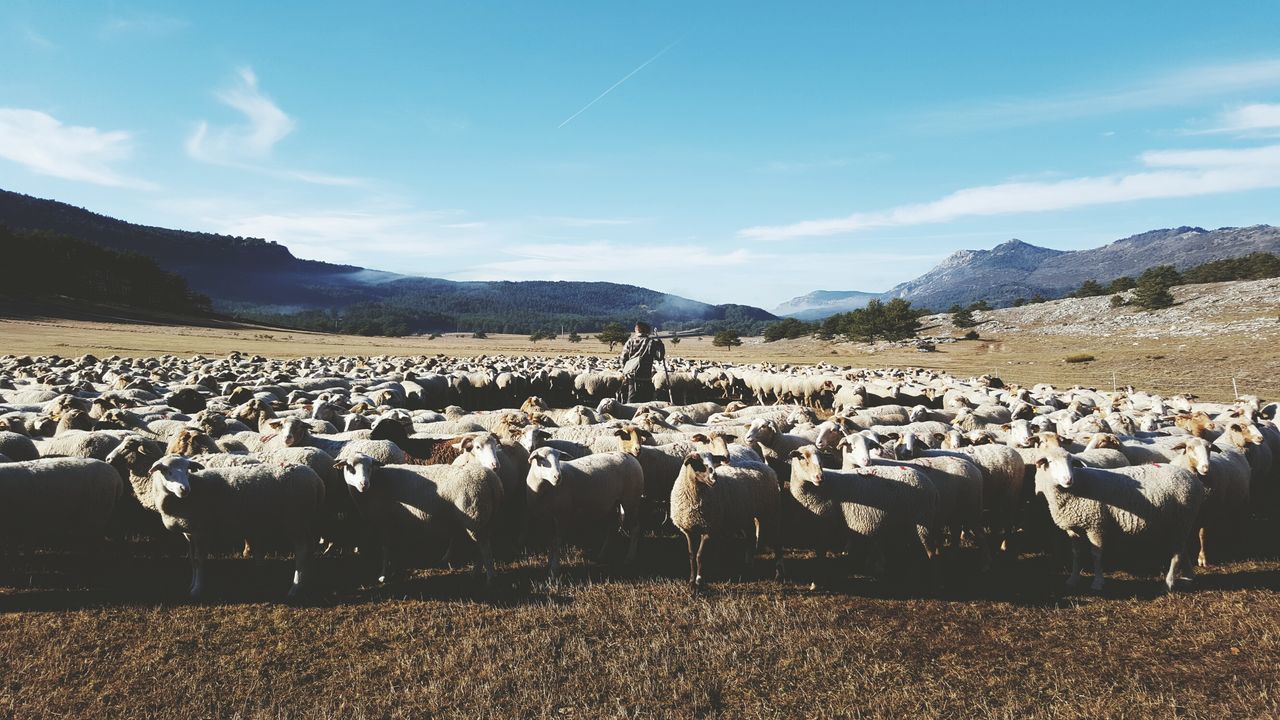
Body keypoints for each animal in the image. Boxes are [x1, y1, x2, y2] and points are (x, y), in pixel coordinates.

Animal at [145, 450, 327, 597]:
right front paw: (192, 584)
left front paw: (197, 589)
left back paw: (295, 588)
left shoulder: (202, 530)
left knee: (302, 550)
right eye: (167, 471)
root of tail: (317, 480)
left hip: (295, 519)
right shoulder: (189, 532)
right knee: (309, 547)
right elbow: (192, 560)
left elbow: (199, 560)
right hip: (302, 520)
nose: (184, 489)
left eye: (187, 471)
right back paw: (306, 582)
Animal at [337, 450, 501, 579]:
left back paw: (490, 578)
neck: (378, 481)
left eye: (370, 467)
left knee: (485, 549)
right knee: (480, 548)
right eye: (350, 468)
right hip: (479, 519)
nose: (363, 484)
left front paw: (383, 574)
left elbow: (385, 549)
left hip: (474, 515)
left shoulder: (385, 521)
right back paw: (476, 573)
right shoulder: (393, 522)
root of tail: (489, 477)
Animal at [665, 450, 783, 586]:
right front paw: (691, 581)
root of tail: (767, 467)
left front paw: (699, 580)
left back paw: (779, 575)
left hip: (770, 511)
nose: (714, 477)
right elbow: (691, 555)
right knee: (751, 538)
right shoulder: (688, 530)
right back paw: (748, 567)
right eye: (697, 462)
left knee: (777, 542)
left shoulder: (709, 528)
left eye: (713, 460)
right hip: (745, 514)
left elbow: (700, 556)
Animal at [1034, 443, 1203, 589]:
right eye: (1050, 462)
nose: (1068, 480)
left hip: (1183, 519)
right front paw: (1073, 579)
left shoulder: (1096, 525)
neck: (1076, 487)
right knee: (1182, 549)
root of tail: (1191, 477)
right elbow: (1076, 554)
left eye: (1071, 462)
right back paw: (1188, 577)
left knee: (1177, 553)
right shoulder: (1073, 529)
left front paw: (1098, 582)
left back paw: (1169, 583)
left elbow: (1096, 555)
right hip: (1175, 522)